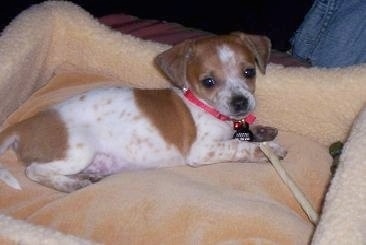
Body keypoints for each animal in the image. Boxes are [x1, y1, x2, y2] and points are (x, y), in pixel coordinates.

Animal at [0, 32, 286, 192]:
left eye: (249, 72)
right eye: (208, 82)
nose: (240, 103)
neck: (203, 105)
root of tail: (23, 125)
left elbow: (245, 135)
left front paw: (262, 131)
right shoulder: (203, 150)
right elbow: (239, 147)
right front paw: (267, 150)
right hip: (77, 152)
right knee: (34, 171)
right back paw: (70, 184)